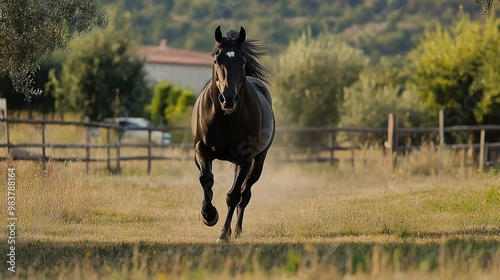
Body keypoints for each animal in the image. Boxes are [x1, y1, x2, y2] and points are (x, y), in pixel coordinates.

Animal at [191, 25, 276, 241]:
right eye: (216, 59)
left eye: (242, 61)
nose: (228, 99)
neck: (226, 119)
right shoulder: (201, 149)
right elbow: (206, 179)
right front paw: (208, 215)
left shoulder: (246, 159)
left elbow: (234, 195)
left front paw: (223, 233)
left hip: (257, 161)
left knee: (245, 194)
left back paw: (236, 230)